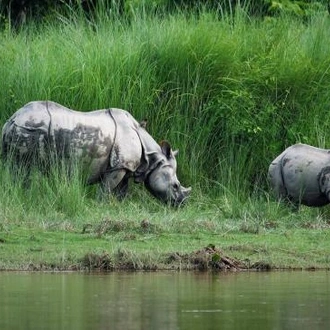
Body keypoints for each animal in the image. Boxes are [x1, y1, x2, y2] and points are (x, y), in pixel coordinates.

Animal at [1, 100, 191, 206]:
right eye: (175, 186)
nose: (181, 204)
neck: (152, 158)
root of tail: (11, 119)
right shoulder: (117, 167)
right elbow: (106, 189)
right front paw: (101, 206)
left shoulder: (125, 167)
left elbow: (122, 191)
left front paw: (119, 207)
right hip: (28, 129)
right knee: (23, 169)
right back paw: (24, 197)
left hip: (22, 128)